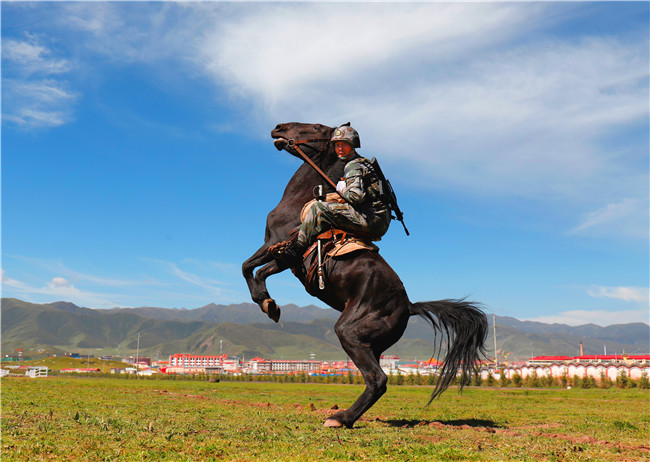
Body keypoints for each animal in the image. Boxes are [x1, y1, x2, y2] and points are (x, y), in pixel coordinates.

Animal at [240, 122, 484, 430]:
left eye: (316, 128)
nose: (278, 128)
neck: (299, 202)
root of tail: (409, 306)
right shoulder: (284, 258)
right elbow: (255, 269)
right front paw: (269, 303)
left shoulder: (281, 249)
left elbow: (249, 267)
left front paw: (267, 303)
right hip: (371, 346)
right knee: (374, 379)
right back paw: (345, 416)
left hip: (349, 332)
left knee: (378, 379)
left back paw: (339, 418)